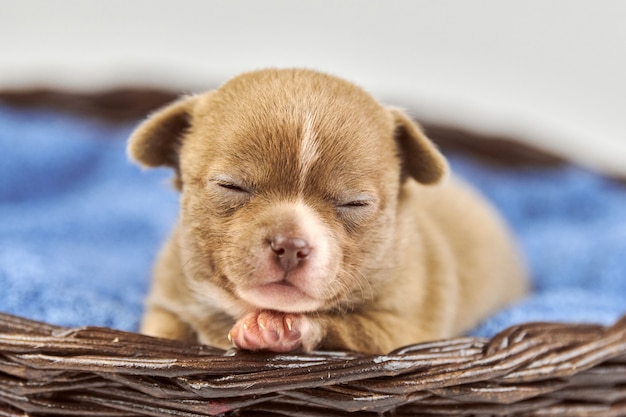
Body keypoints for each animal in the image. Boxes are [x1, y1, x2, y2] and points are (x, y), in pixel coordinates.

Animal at [127, 67, 528, 352]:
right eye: (231, 186)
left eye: (354, 203)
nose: (290, 246)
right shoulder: (167, 301)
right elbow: (164, 331)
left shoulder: (406, 332)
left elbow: (351, 327)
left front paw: (276, 328)